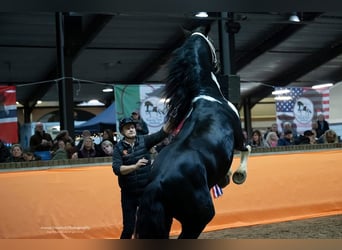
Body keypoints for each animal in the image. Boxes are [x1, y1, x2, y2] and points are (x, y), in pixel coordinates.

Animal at [136, 28, 251, 239]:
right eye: (211, 41)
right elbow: (246, 149)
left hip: (164, 220)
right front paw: (238, 175)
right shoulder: (239, 136)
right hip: (198, 218)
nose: (218, 63)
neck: (208, 94)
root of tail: (156, 184)